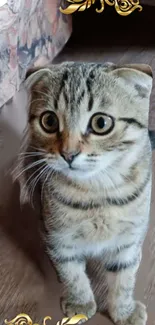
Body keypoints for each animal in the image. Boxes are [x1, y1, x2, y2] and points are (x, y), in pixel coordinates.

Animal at [16, 62, 153, 324]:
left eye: (101, 123)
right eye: (49, 121)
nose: (68, 154)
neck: (95, 194)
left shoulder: (128, 241)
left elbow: (124, 280)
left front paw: (124, 311)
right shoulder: (59, 239)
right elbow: (72, 275)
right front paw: (80, 303)